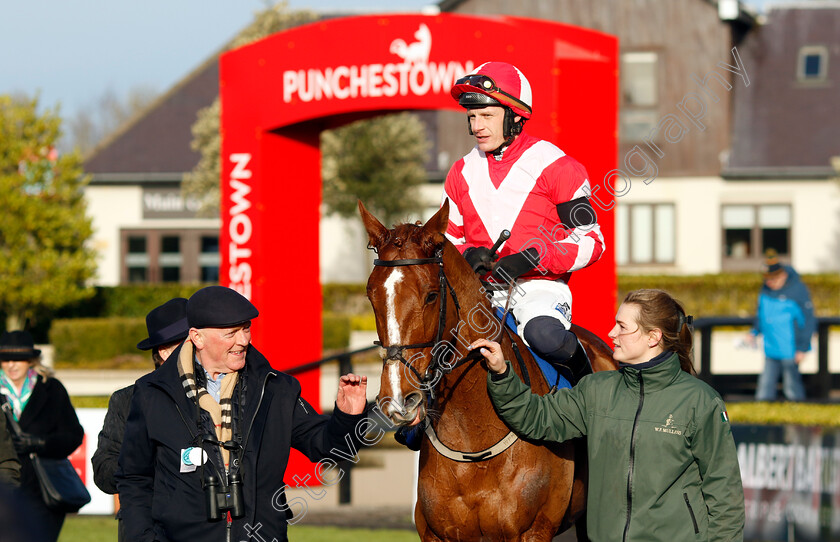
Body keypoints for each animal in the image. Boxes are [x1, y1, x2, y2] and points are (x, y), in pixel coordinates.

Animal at [358, 202, 612, 540]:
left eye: (431, 295)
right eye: (371, 295)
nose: (399, 398)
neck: (473, 438)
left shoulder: (532, 530)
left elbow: (587, 235)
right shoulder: (437, 533)